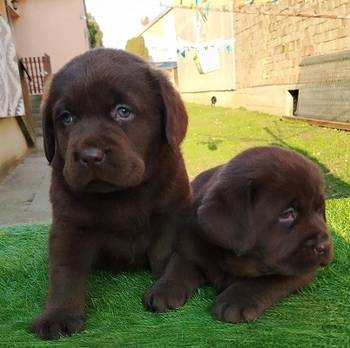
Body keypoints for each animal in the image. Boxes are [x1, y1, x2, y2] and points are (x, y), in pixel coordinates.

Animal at [32, 47, 191, 338]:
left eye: (123, 112)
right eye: (66, 117)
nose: (89, 156)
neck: (122, 192)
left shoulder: (172, 214)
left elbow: (168, 252)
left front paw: (166, 287)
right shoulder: (68, 226)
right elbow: (64, 273)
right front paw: (58, 315)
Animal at [145, 145, 334, 322]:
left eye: (319, 209)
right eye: (287, 213)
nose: (325, 246)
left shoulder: (299, 270)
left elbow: (266, 280)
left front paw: (235, 301)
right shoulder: (188, 244)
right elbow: (178, 265)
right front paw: (163, 290)